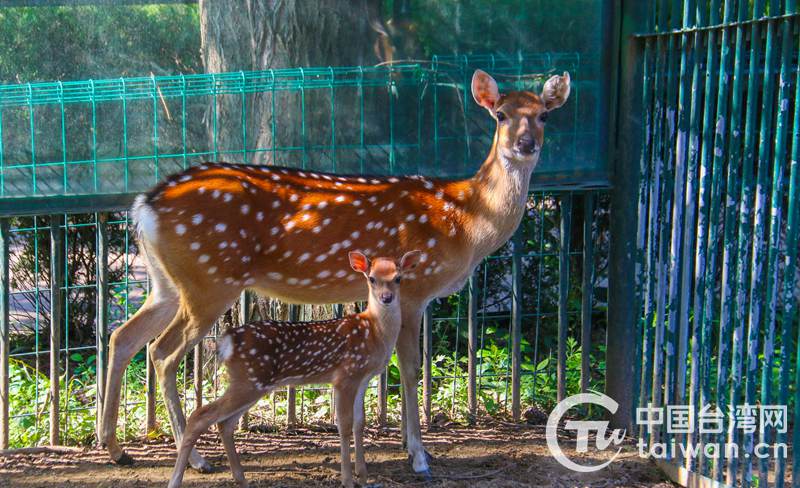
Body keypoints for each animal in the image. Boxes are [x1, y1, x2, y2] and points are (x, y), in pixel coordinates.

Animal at [166, 252, 422, 488]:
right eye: (372, 278)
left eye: (398, 278)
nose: (386, 298)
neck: (374, 331)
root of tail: (227, 340)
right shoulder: (345, 376)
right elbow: (344, 425)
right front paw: (348, 480)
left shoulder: (364, 378)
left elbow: (360, 424)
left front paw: (364, 476)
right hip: (249, 380)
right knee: (200, 416)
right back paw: (177, 480)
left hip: (253, 383)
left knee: (225, 423)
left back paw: (241, 478)